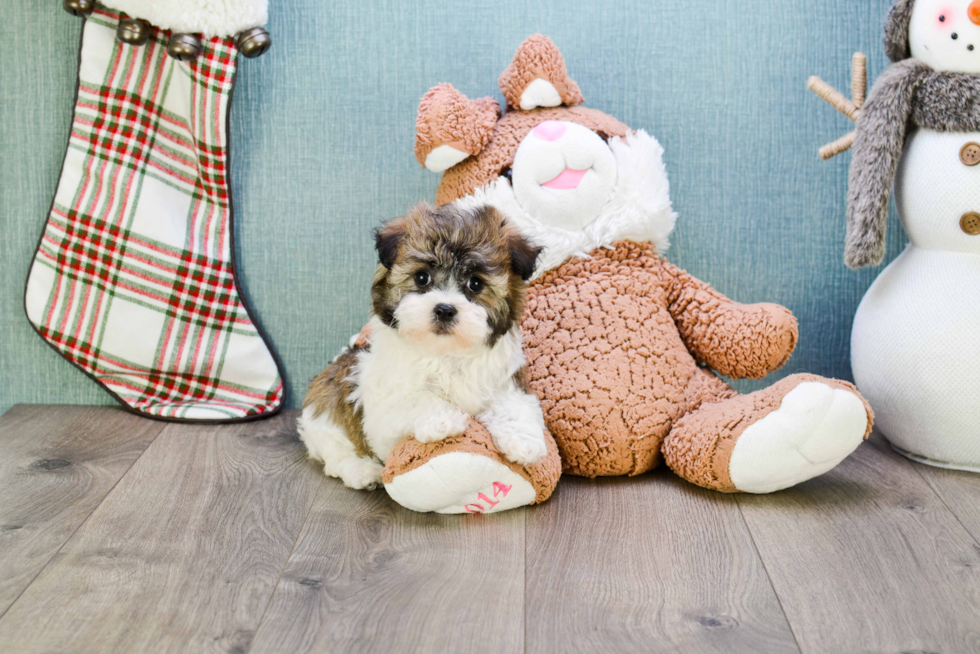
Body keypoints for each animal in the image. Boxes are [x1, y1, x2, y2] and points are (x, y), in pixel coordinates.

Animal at [294, 205, 548, 492]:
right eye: (422, 277)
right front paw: (444, 421)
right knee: (336, 453)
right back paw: (363, 471)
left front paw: (524, 442)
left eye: (475, 284)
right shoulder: (382, 410)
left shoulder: (506, 381)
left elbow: (514, 404)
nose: (445, 309)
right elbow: (413, 399)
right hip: (326, 412)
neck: (445, 353)